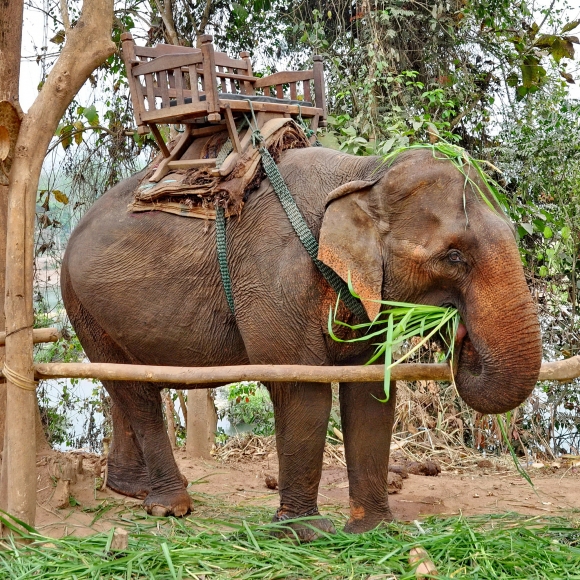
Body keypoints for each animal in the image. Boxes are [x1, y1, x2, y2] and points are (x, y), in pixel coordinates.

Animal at [61, 146, 540, 540]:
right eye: (453, 256)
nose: (459, 332)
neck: (364, 173)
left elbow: (370, 392)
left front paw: (374, 532)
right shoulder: (274, 277)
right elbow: (303, 390)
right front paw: (304, 533)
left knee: (125, 384)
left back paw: (131, 489)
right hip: (82, 304)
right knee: (136, 392)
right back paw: (170, 508)